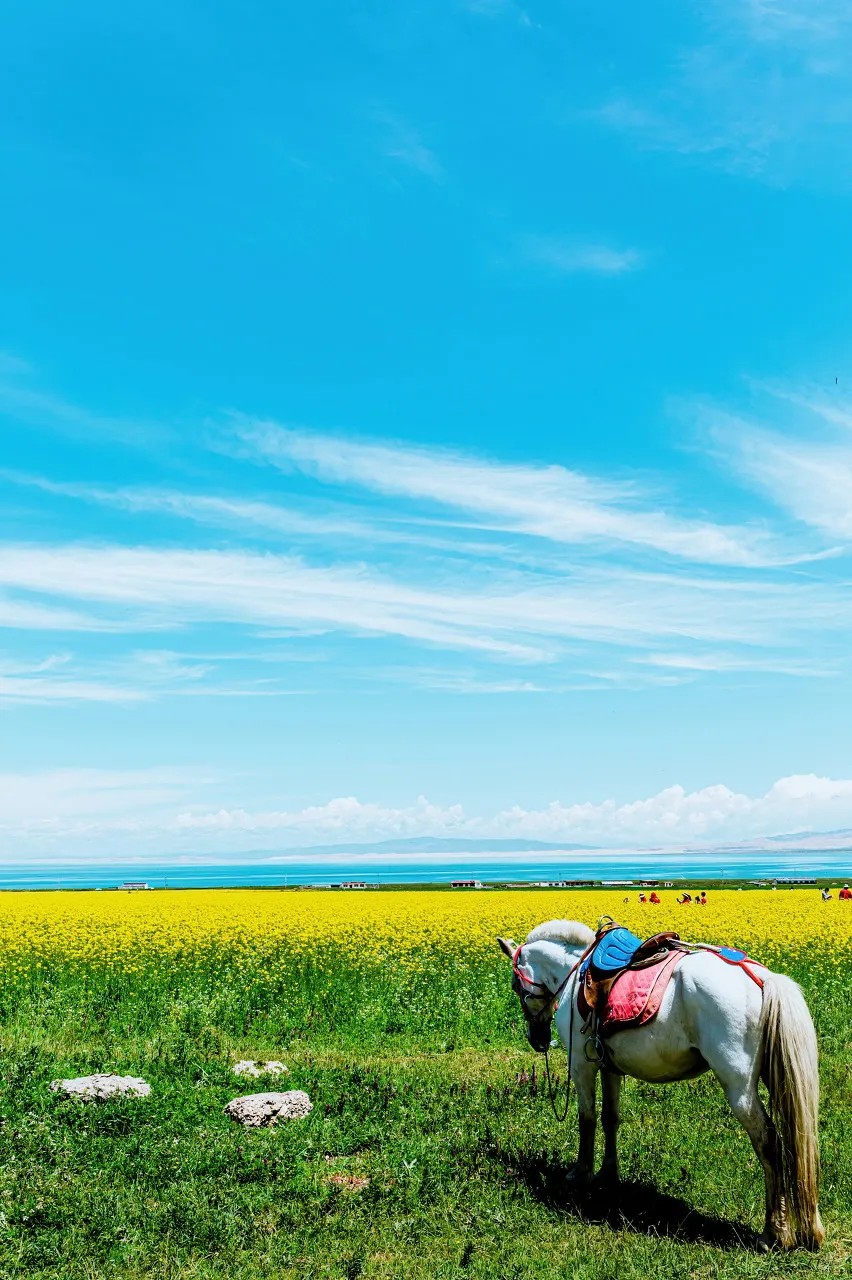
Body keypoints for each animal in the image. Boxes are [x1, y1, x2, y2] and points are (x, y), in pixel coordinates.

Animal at [493, 921, 818, 1249]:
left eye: (516, 986)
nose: (538, 1040)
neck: (574, 973)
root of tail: (763, 979)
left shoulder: (582, 1065)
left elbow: (587, 1119)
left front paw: (581, 1174)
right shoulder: (609, 1067)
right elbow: (610, 1118)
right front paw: (607, 1174)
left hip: (739, 1089)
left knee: (769, 1143)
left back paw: (774, 1233)